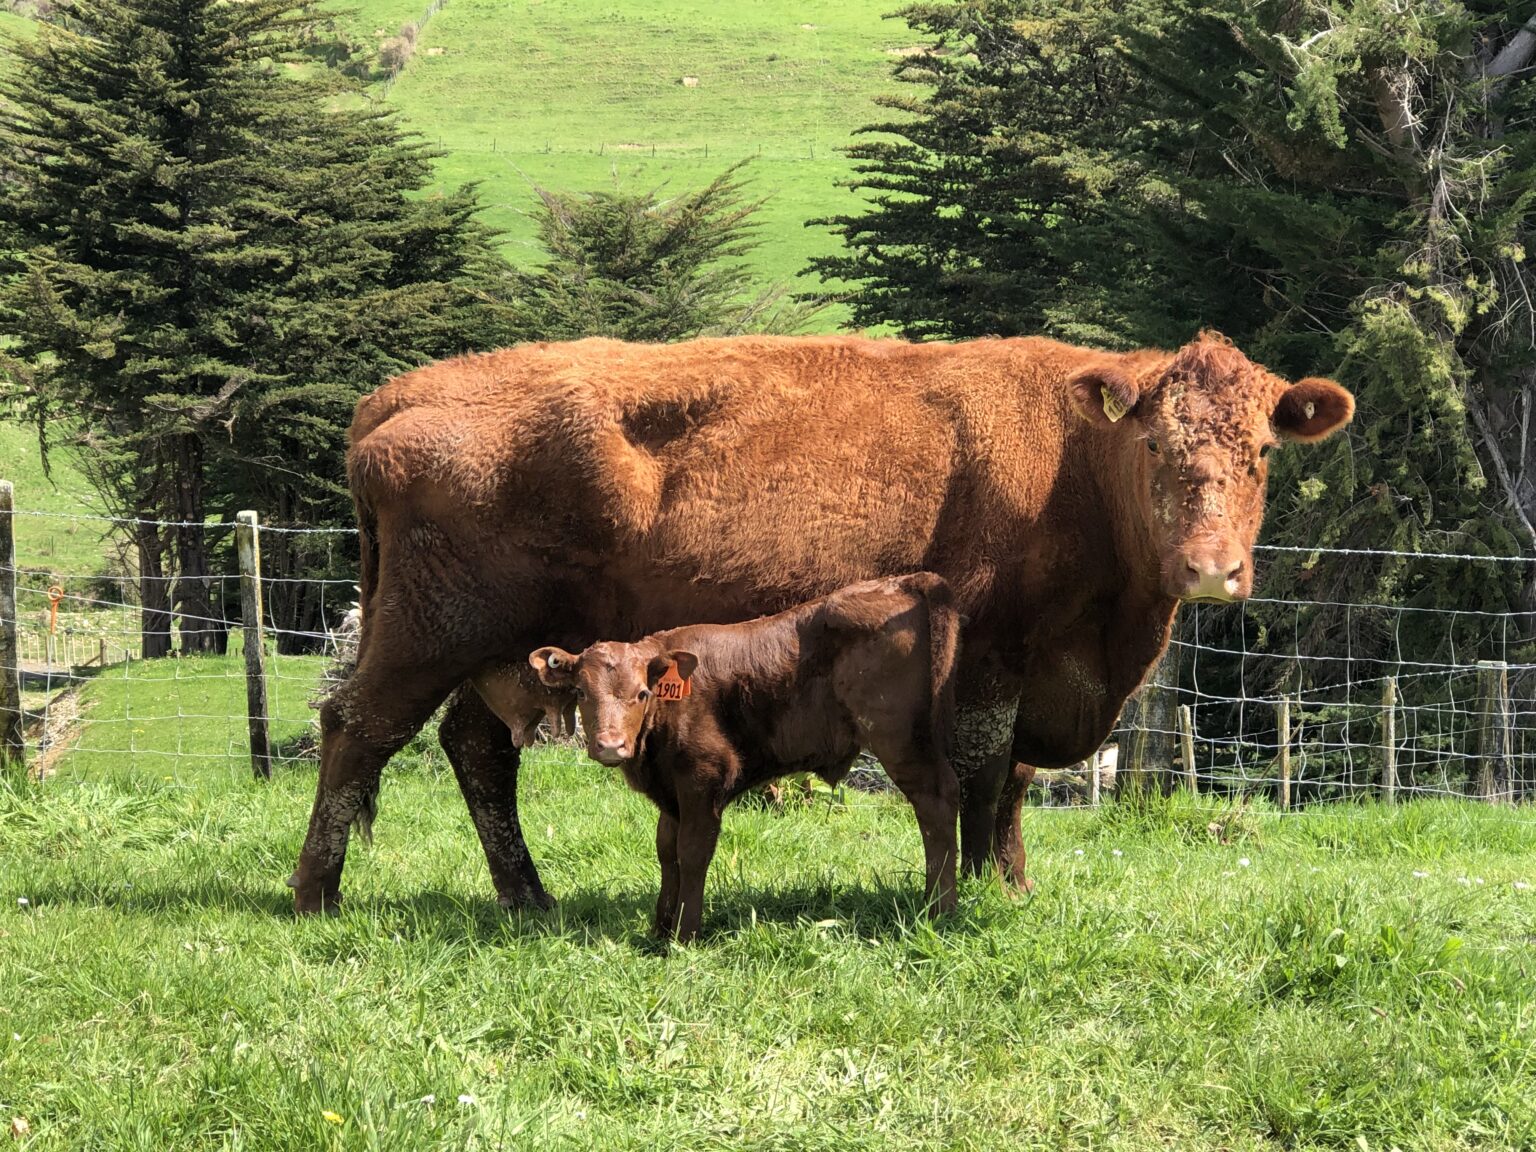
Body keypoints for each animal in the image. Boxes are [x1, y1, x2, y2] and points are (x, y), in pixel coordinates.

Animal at [530, 572, 962, 940]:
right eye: (581, 692)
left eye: (642, 693)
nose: (610, 745)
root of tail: (905, 581)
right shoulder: (672, 791)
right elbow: (666, 850)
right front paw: (659, 929)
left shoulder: (704, 778)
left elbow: (692, 852)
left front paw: (685, 934)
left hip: (898, 738)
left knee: (936, 805)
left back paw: (938, 910)